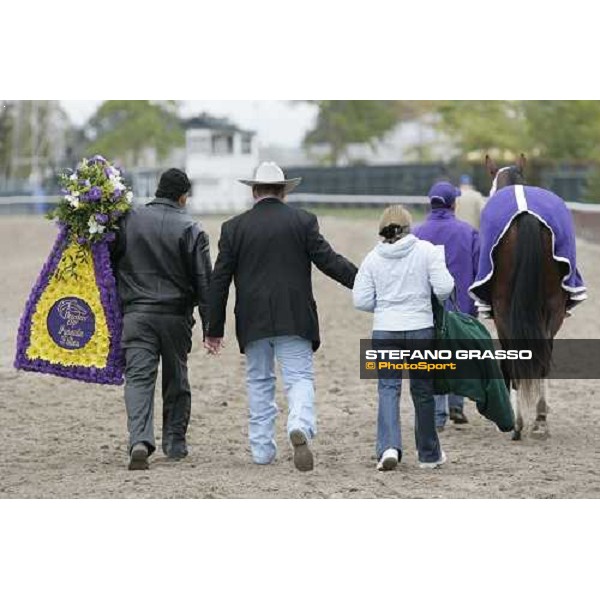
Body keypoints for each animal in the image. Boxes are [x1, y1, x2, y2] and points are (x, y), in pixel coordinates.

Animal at [480, 155, 568, 440]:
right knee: (543, 359)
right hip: (553, 308)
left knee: (517, 359)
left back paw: (518, 424)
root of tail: (526, 215)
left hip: (504, 310)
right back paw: (540, 420)